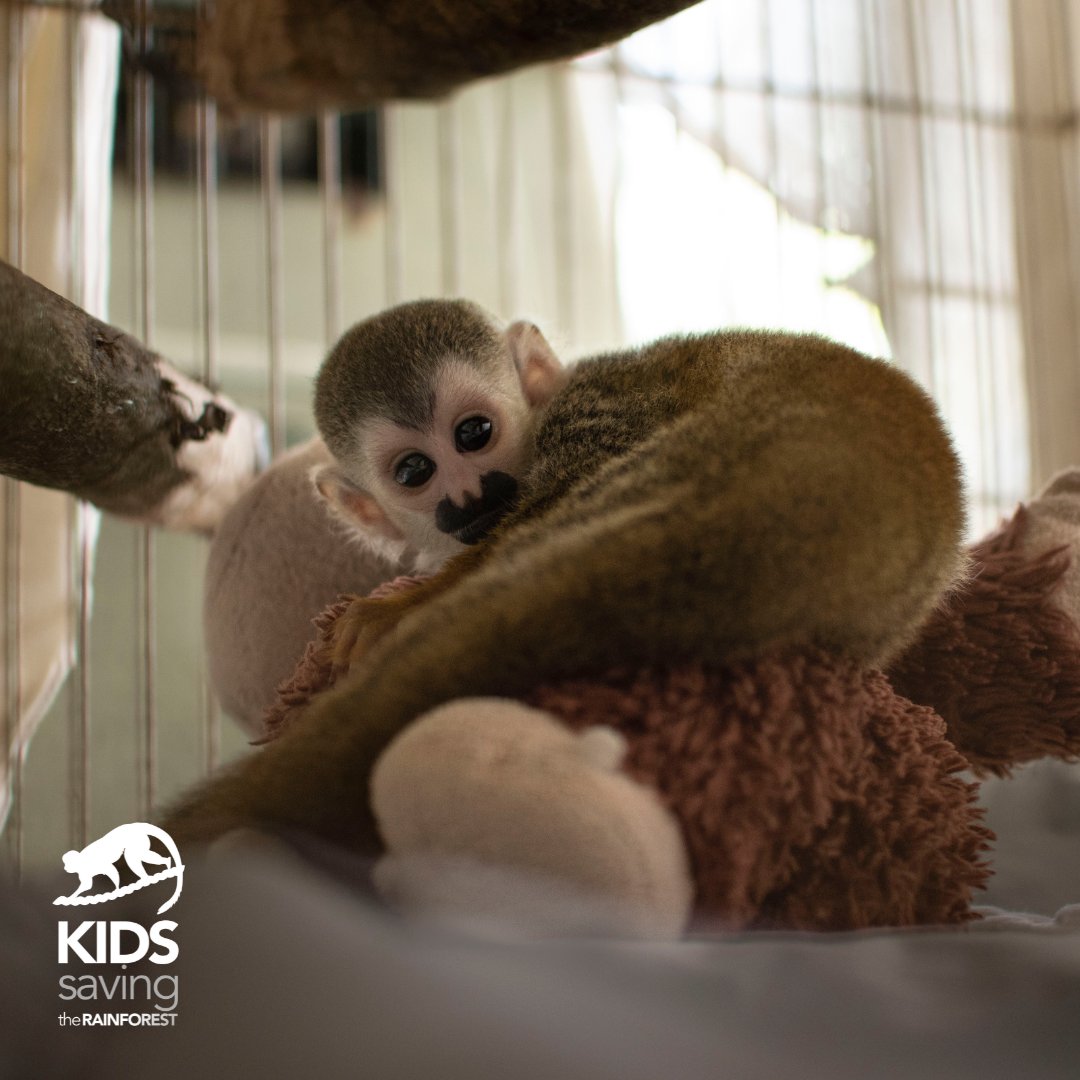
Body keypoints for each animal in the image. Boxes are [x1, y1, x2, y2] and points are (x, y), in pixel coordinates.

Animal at [57, 822, 185, 914]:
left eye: (68, 863)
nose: (66, 867)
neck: (82, 861)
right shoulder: (84, 871)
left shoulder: (92, 864)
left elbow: (108, 869)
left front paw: (117, 889)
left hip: (137, 840)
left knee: (131, 856)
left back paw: (162, 866)